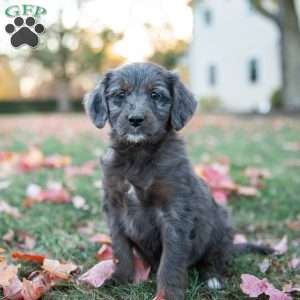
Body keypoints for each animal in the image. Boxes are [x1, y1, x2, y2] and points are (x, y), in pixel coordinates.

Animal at [84, 62, 272, 300]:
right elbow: (121, 250)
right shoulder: (114, 208)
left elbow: (171, 261)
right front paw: (119, 280)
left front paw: (167, 294)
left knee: (214, 258)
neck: (138, 154)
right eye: (120, 94)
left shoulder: (174, 212)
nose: (135, 119)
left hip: (221, 225)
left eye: (156, 95)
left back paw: (213, 278)